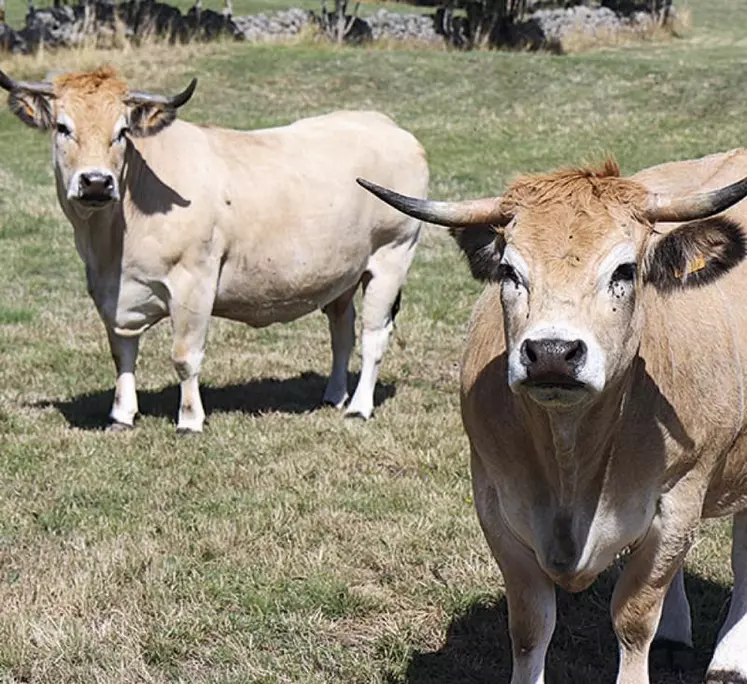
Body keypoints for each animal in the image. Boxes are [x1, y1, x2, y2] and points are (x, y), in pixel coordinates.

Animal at [0, 68, 430, 432]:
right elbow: (122, 352)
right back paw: (335, 395)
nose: (95, 182)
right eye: (62, 127)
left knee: (374, 336)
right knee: (342, 331)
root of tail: (387, 125)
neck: (111, 242)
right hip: (342, 271)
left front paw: (190, 420)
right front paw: (121, 416)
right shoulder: (112, 292)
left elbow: (184, 356)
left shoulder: (194, 281)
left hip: (392, 255)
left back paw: (359, 407)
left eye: (122, 132)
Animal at [358, 160, 747, 684]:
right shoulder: (496, 503)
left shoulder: (680, 499)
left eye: (625, 270)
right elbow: (530, 625)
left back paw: (729, 662)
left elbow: (634, 620)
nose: (552, 353)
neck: (572, 461)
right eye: (509, 270)